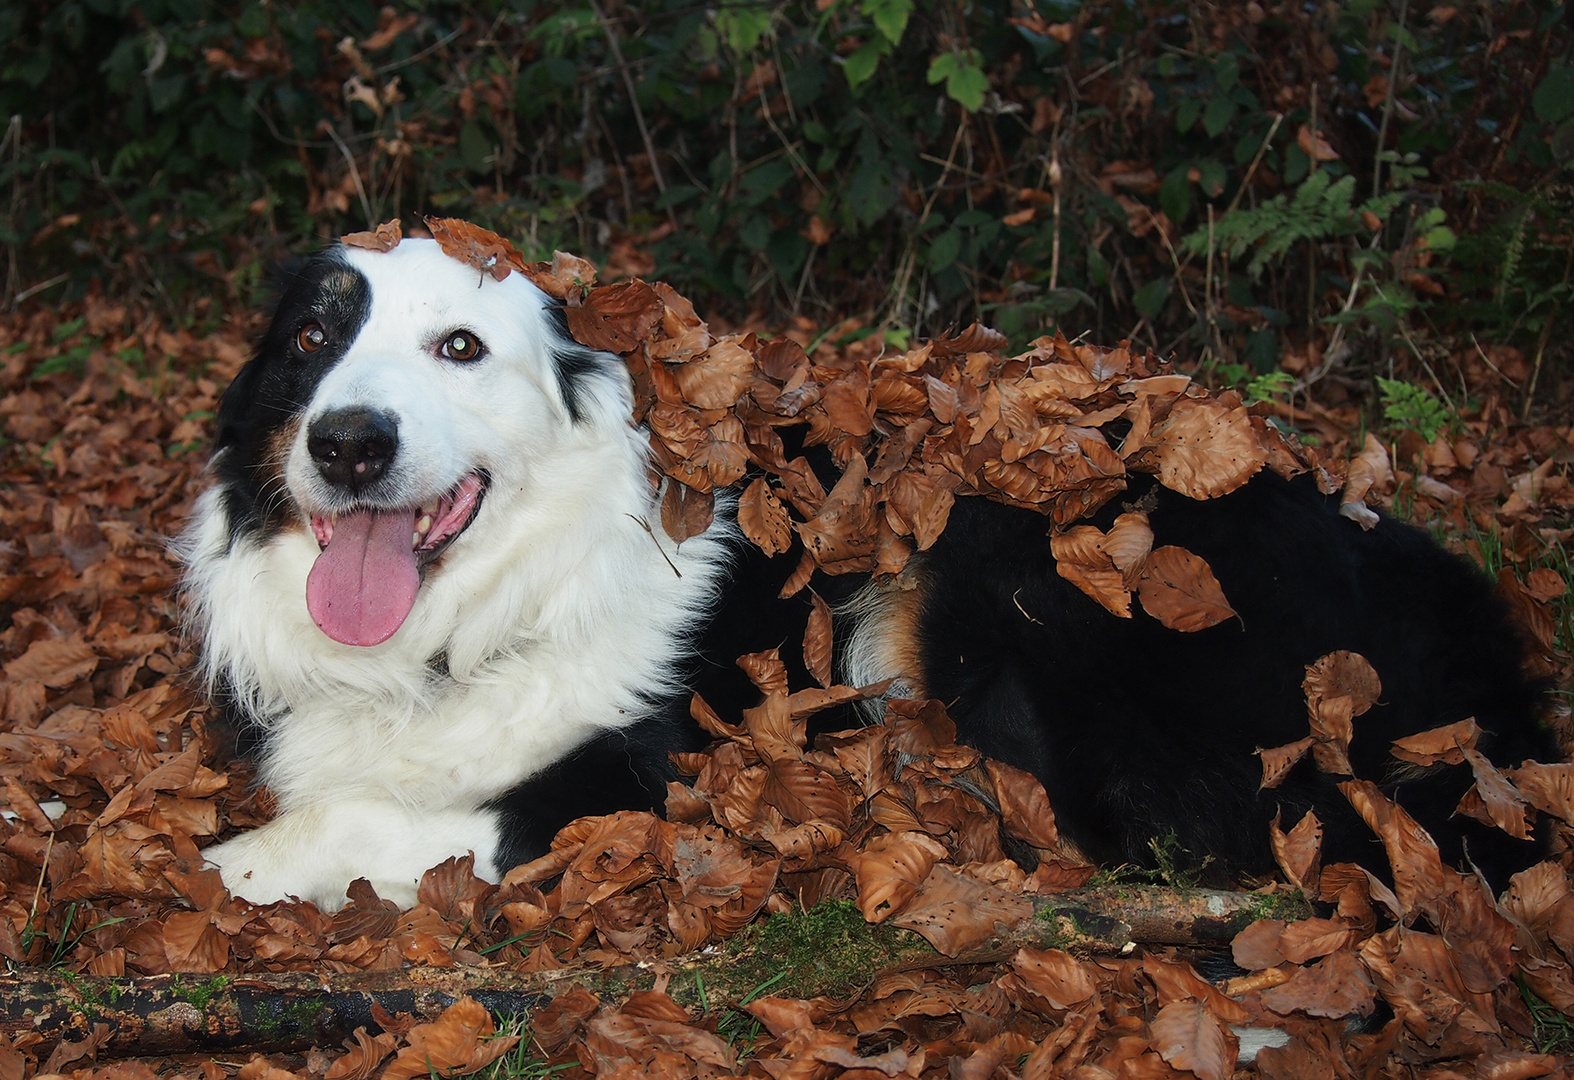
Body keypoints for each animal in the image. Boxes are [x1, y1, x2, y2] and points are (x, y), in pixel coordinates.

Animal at [181, 239, 1548, 913]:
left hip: (992, 565)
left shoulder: (659, 779)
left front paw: (235, 868)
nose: (347, 444)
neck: (455, 630)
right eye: (312, 340)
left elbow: (376, 818)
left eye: (460, 348)